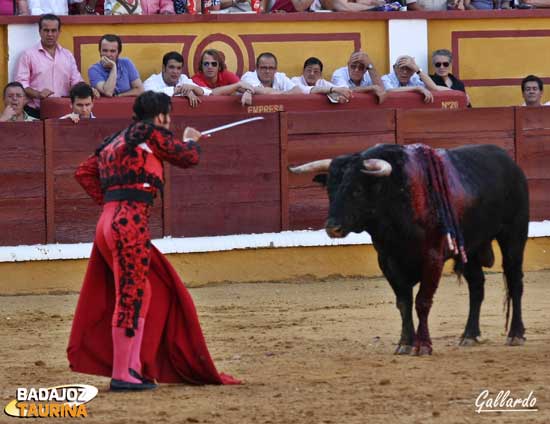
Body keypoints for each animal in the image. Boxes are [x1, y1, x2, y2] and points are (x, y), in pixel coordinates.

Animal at [292, 144, 532, 356]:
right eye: (330, 190)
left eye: (357, 190)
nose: (332, 227)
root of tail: (509, 161)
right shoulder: (388, 261)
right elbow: (404, 303)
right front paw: (405, 343)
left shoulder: (433, 259)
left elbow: (422, 301)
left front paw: (423, 345)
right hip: (470, 247)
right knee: (477, 286)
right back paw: (469, 335)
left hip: (514, 236)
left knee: (515, 281)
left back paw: (516, 334)